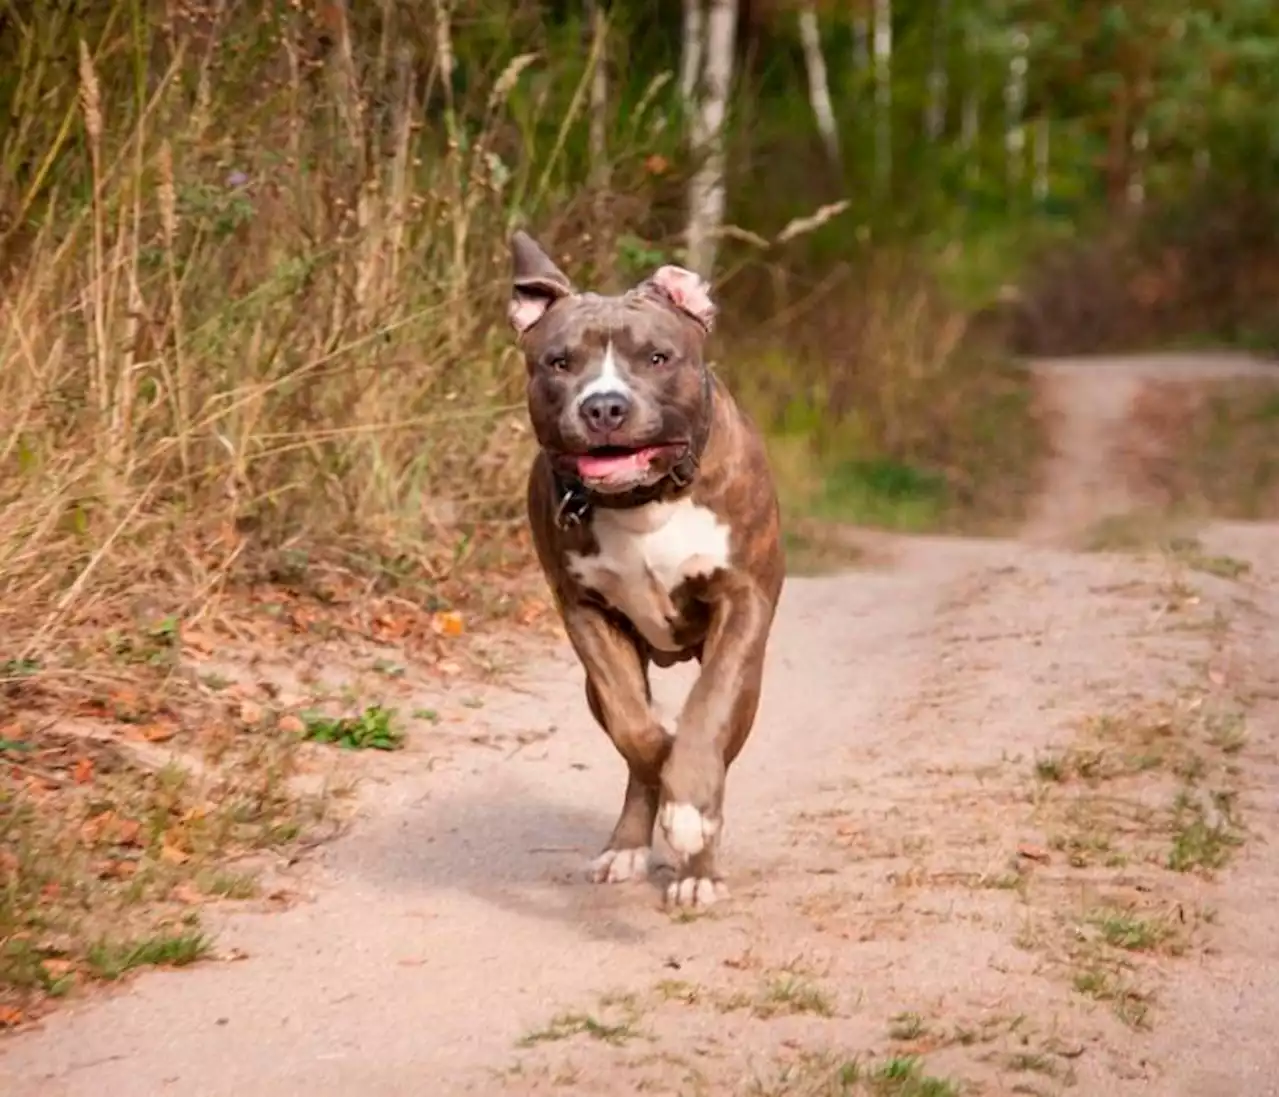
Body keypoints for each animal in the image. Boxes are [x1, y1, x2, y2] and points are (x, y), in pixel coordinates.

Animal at [504, 231, 783, 906]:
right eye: (559, 362)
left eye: (657, 358)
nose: (604, 406)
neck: (644, 501)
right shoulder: (585, 613)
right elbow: (637, 730)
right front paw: (666, 777)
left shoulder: (742, 603)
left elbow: (707, 716)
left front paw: (692, 815)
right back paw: (630, 844)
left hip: (751, 677)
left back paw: (698, 867)